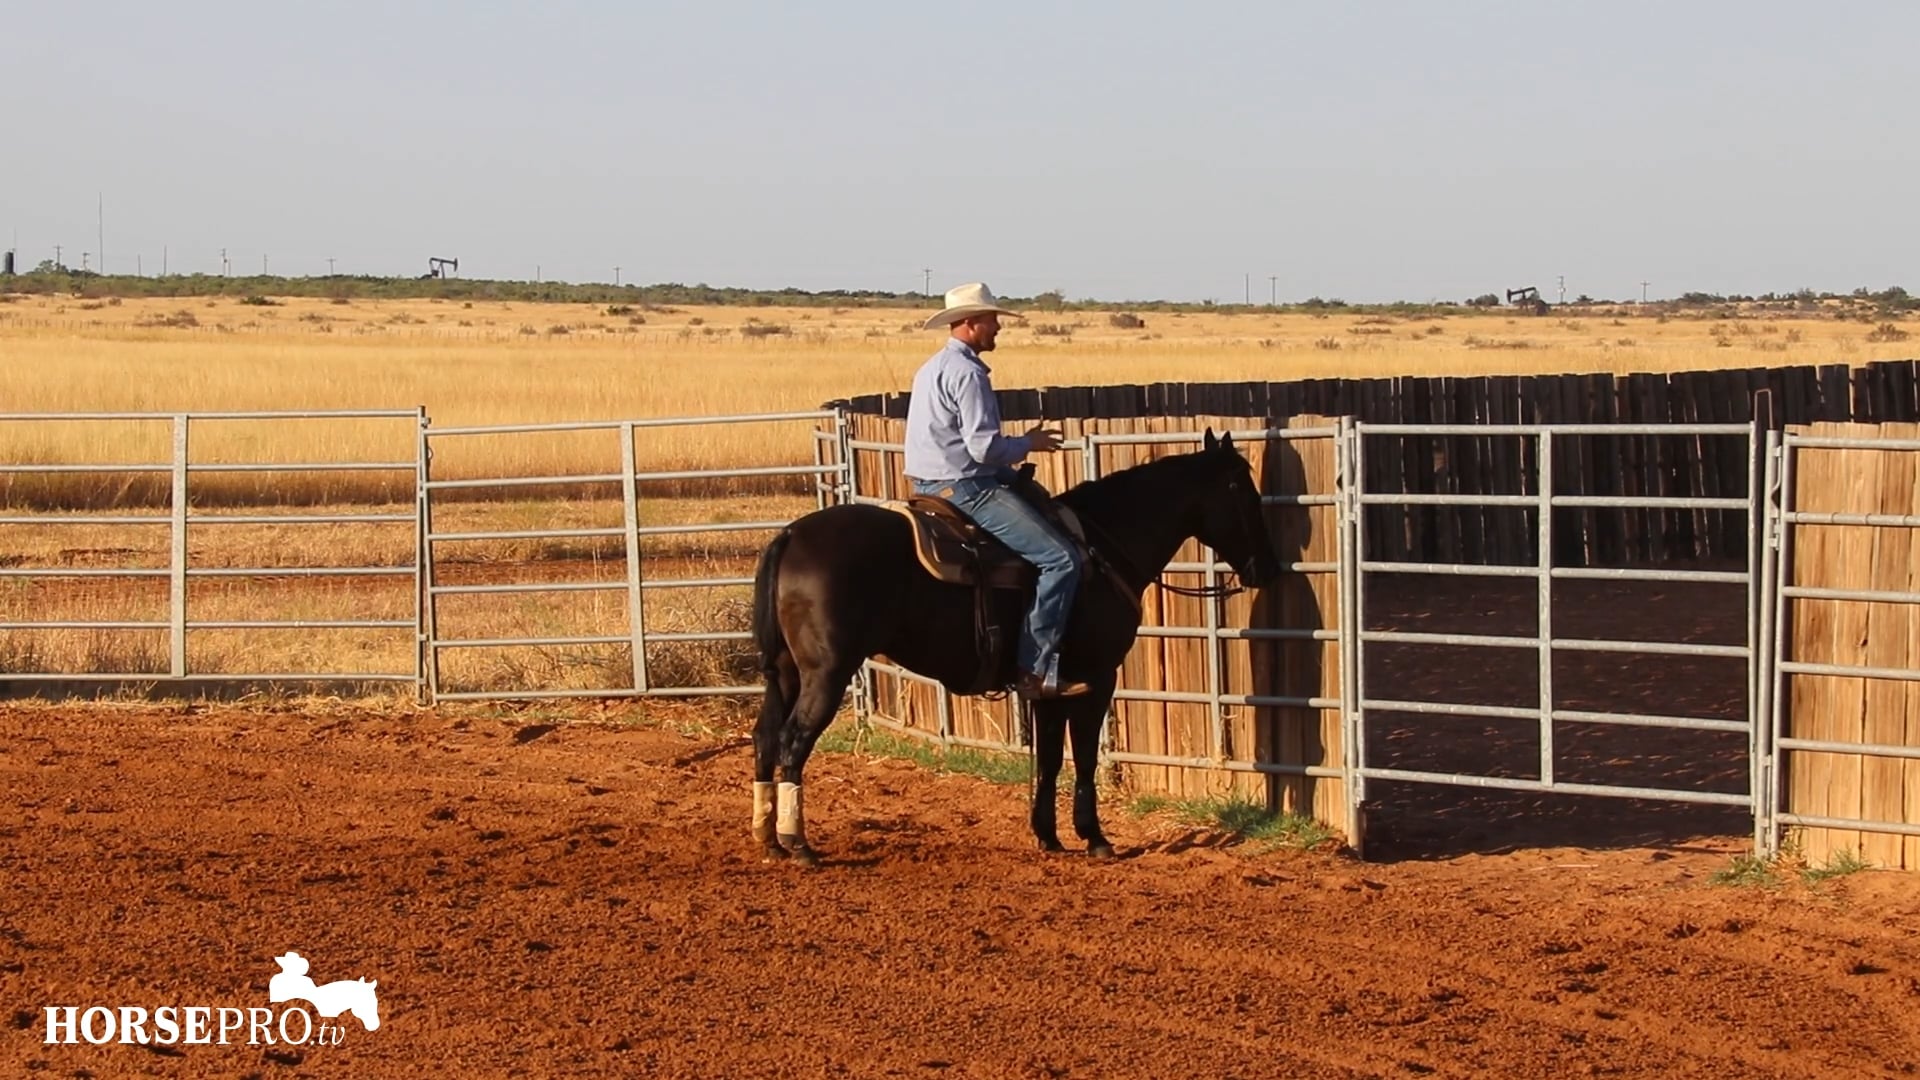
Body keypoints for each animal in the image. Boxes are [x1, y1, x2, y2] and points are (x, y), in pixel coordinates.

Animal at [748, 428, 1284, 865]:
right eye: (1243, 490)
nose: (1268, 566)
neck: (1101, 547)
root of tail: (791, 534)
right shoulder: (1097, 678)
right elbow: (1082, 756)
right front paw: (1094, 837)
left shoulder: (1048, 686)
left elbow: (1048, 757)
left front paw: (1047, 835)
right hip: (828, 672)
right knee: (793, 740)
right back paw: (799, 844)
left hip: (788, 673)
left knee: (766, 737)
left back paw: (769, 838)